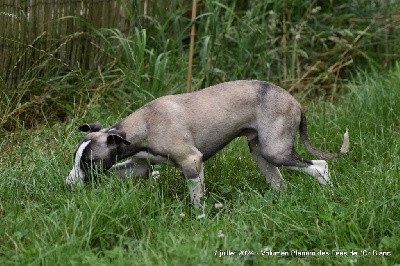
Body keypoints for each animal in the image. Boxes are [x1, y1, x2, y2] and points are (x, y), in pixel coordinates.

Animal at [67, 80, 348, 207]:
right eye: (76, 159)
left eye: (90, 162)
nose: (69, 185)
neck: (145, 124)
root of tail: (295, 101)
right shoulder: (140, 167)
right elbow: (122, 170)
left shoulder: (192, 161)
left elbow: (196, 198)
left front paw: (199, 219)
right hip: (260, 151)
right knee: (279, 181)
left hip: (275, 151)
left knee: (319, 165)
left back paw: (330, 192)